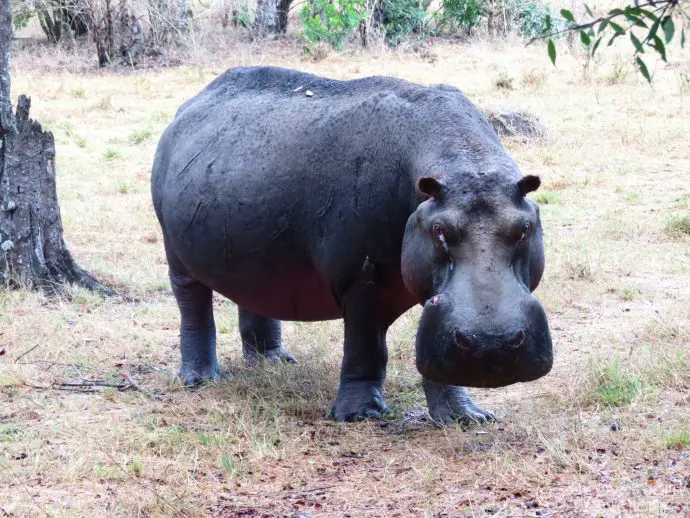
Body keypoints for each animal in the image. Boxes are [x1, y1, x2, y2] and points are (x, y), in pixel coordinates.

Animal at [149, 67, 548, 426]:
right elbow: (365, 347)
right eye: (439, 230)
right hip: (177, 256)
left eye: (524, 228)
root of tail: (188, 105)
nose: (491, 343)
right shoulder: (360, 280)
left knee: (256, 298)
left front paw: (467, 417)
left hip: (256, 251)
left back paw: (274, 361)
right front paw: (359, 414)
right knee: (193, 307)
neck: (467, 167)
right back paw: (200, 379)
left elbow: (433, 346)